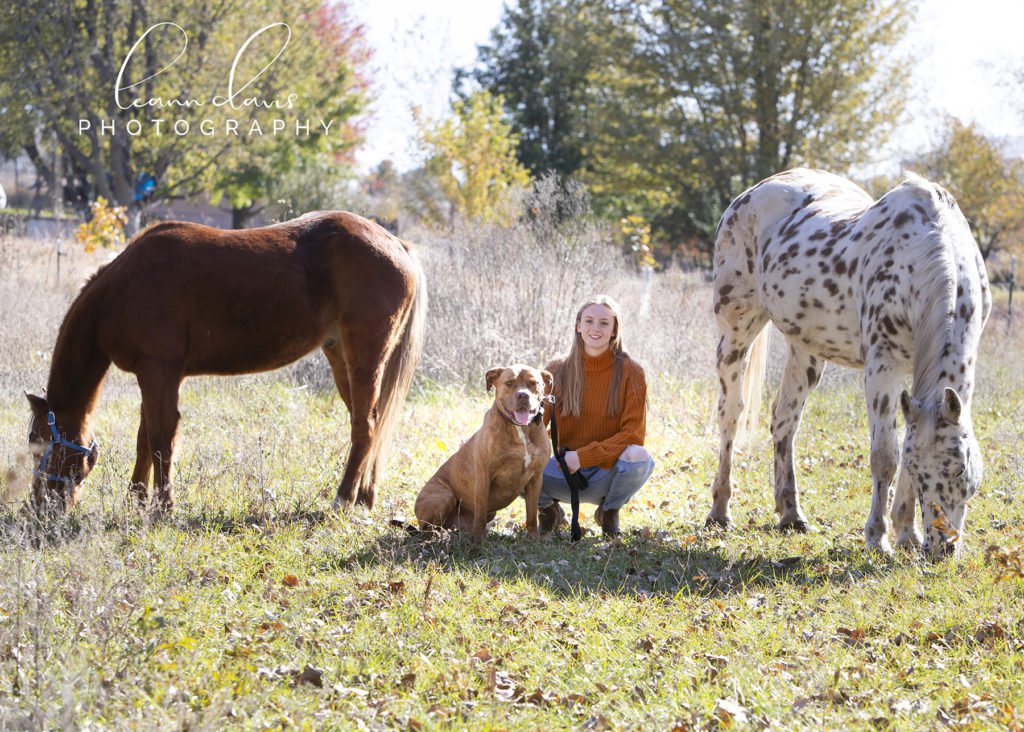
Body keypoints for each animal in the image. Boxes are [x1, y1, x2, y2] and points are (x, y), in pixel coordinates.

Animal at [28, 208, 425, 511]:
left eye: (38, 445)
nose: (39, 508)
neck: (122, 288)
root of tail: (395, 244)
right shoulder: (152, 375)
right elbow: (145, 439)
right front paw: (136, 502)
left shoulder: (160, 371)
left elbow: (160, 438)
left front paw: (162, 507)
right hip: (341, 357)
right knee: (371, 422)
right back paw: (364, 496)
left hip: (364, 359)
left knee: (365, 427)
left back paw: (343, 499)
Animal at [413, 366, 552, 544]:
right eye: (509, 383)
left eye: (533, 383)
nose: (523, 395)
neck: (519, 429)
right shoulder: (483, 476)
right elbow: (479, 514)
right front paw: (478, 542)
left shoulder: (535, 478)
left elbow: (532, 514)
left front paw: (534, 538)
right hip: (444, 496)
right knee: (426, 528)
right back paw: (438, 537)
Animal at [708, 169, 987, 561]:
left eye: (962, 470)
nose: (942, 548)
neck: (924, 255)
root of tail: (753, 192)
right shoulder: (882, 366)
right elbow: (885, 456)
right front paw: (878, 539)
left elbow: (905, 444)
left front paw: (906, 534)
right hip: (736, 332)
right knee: (731, 415)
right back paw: (719, 511)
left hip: (806, 350)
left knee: (784, 418)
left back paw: (791, 514)